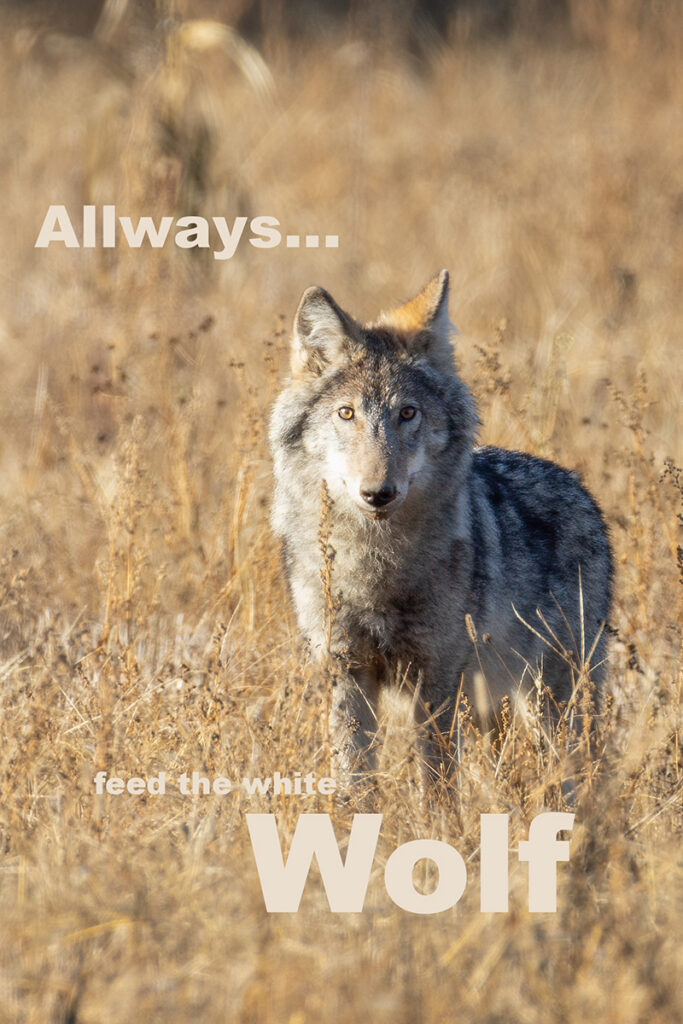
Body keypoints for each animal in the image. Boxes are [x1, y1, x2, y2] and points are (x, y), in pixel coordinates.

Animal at [269, 270, 612, 775]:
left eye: (407, 413)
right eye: (346, 413)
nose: (378, 493)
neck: (374, 565)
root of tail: (580, 488)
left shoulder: (436, 677)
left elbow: (436, 781)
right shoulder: (346, 671)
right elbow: (354, 777)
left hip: (551, 704)